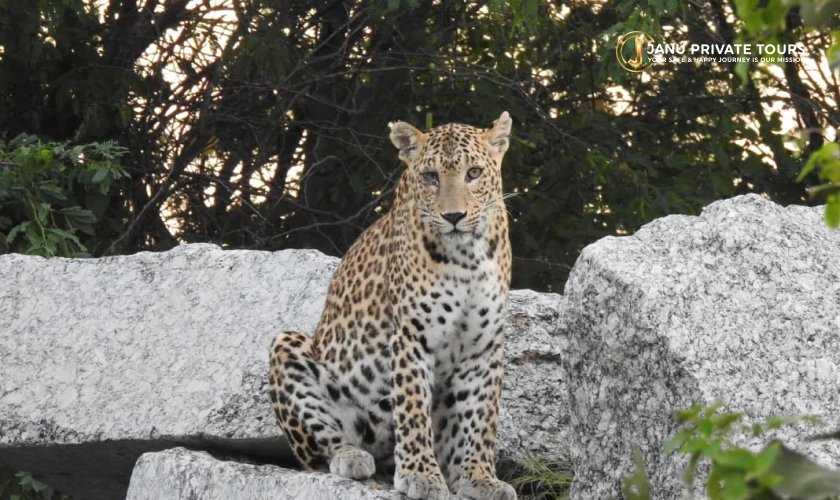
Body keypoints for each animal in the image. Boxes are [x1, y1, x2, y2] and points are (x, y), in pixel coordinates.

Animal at [269, 112, 516, 500]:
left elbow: (480, 417)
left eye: (474, 173)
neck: (467, 258)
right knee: (319, 449)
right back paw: (351, 457)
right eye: (431, 176)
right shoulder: (412, 337)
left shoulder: (483, 347)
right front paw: (421, 475)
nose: (454, 216)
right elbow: (412, 407)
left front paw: (479, 478)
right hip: (288, 345)